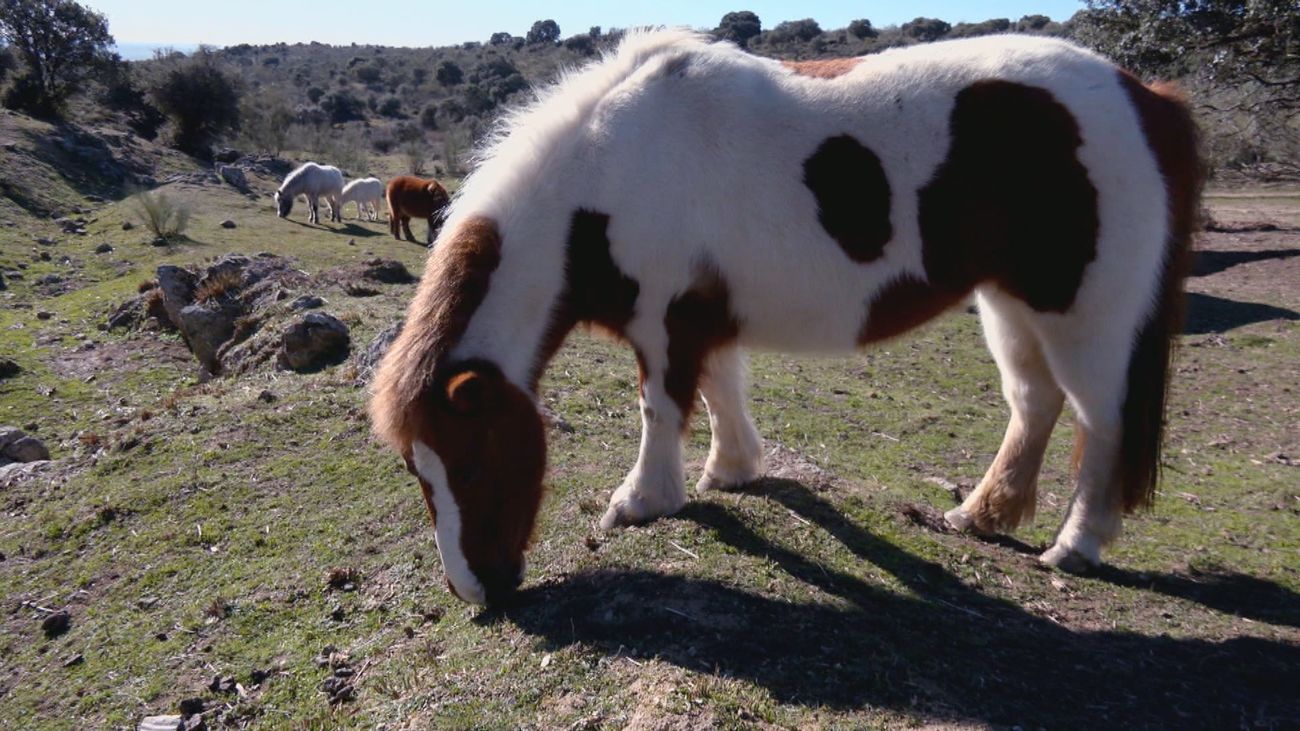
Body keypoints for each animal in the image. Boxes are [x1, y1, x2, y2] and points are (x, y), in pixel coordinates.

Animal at [369, 31, 1201, 606]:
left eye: (471, 463)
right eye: (418, 471)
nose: (478, 591)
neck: (606, 174)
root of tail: (1147, 96)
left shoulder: (663, 322)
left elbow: (660, 407)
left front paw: (642, 500)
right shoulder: (702, 318)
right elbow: (719, 391)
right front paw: (731, 469)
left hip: (1085, 317)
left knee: (1102, 422)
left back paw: (1076, 545)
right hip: (1010, 305)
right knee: (1034, 403)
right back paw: (980, 514)